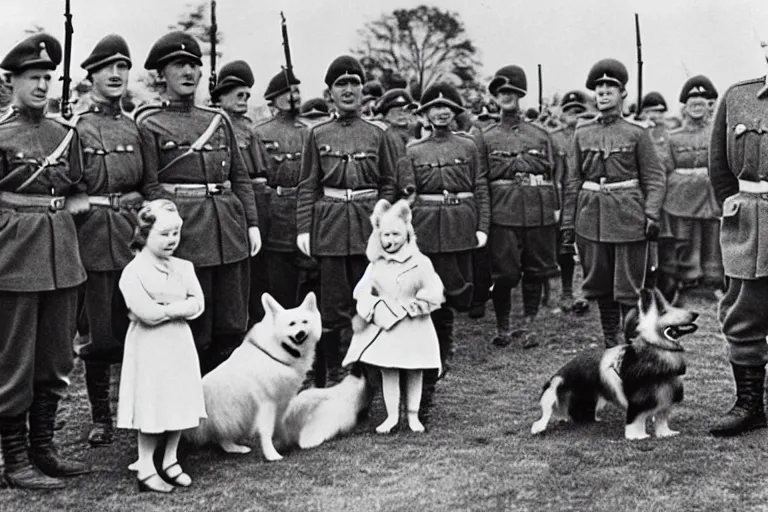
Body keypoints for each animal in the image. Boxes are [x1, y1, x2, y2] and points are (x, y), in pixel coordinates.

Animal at [185, 290, 320, 462]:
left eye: (304, 322)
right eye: (291, 324)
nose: (300, 333)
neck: (279, 350)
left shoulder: (281, 401)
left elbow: (280, 425)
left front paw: (286, 441)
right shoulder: (267, 403)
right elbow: (267, 431)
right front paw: (271, 454)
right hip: (235, 413)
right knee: (220, 436)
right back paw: (235, 448)